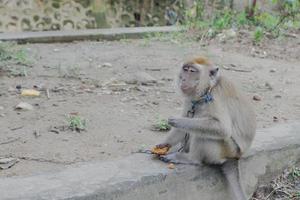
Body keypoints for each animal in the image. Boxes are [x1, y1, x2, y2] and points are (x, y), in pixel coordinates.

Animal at [156, 56, 256, 200]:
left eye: (192, 71)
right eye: (185, 69)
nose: (183, 79)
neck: (207, 90)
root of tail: (236, 156)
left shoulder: (216, 98)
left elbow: (222, 128)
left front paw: (178, 121)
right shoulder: (191, 99)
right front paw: (164, 144)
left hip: (227, 150)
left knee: (202, 134)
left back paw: (190, 158)